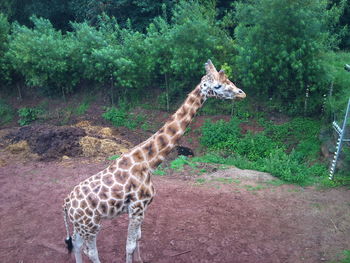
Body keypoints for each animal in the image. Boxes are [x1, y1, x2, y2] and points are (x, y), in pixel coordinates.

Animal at [61, 59, 245, 263]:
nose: (241, 93)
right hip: (91, 225)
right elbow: (129, 245)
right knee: (91, 251)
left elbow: (138, 239)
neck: (148, 162)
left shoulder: (142, 209)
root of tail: (66, 204)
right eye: (218, 86)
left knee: (76, 243)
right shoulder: (136, 207)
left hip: (81, 225)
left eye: (229, 80)